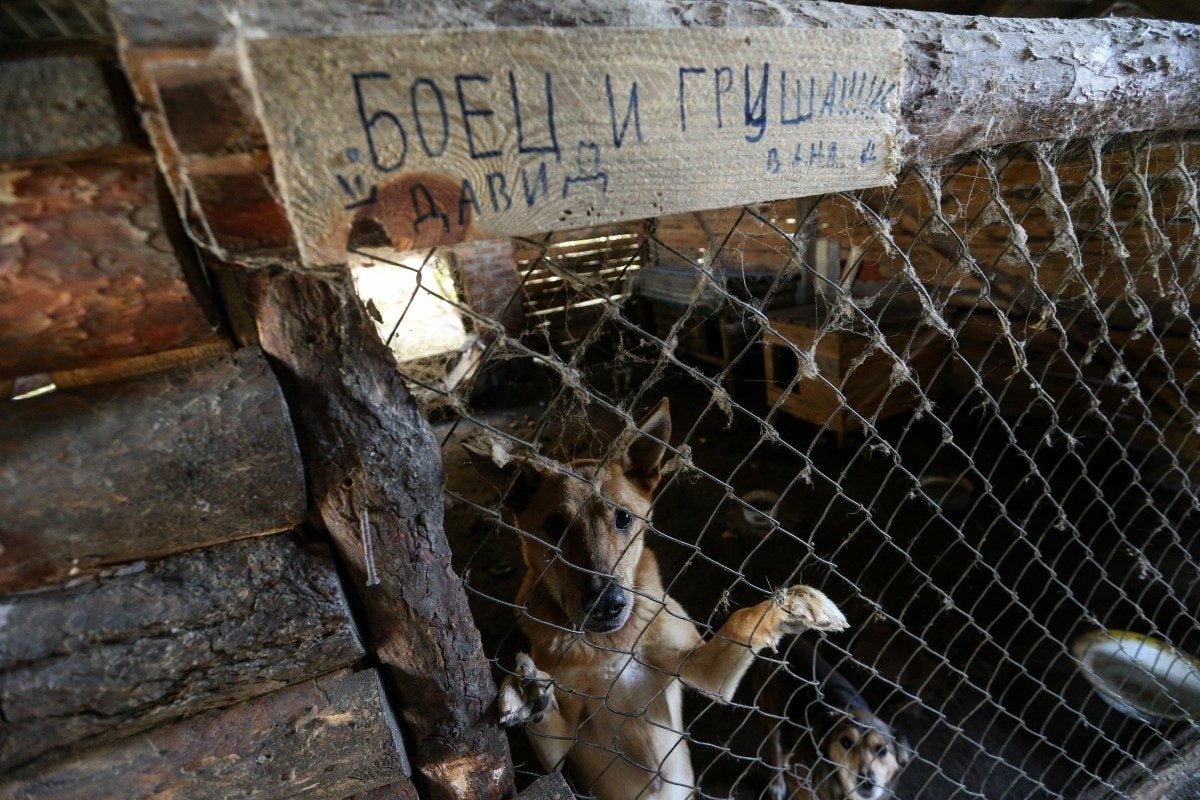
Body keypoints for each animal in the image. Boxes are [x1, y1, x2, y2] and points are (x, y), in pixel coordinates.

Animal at [463, 400, 849, 800]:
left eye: (623, 518)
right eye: (554, 527)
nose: (607, 603)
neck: (611, 645)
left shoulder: (702, 671)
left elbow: (740, 619)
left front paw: (793, 605)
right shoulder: (560, 756)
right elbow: (549, 726)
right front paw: (525, 694)